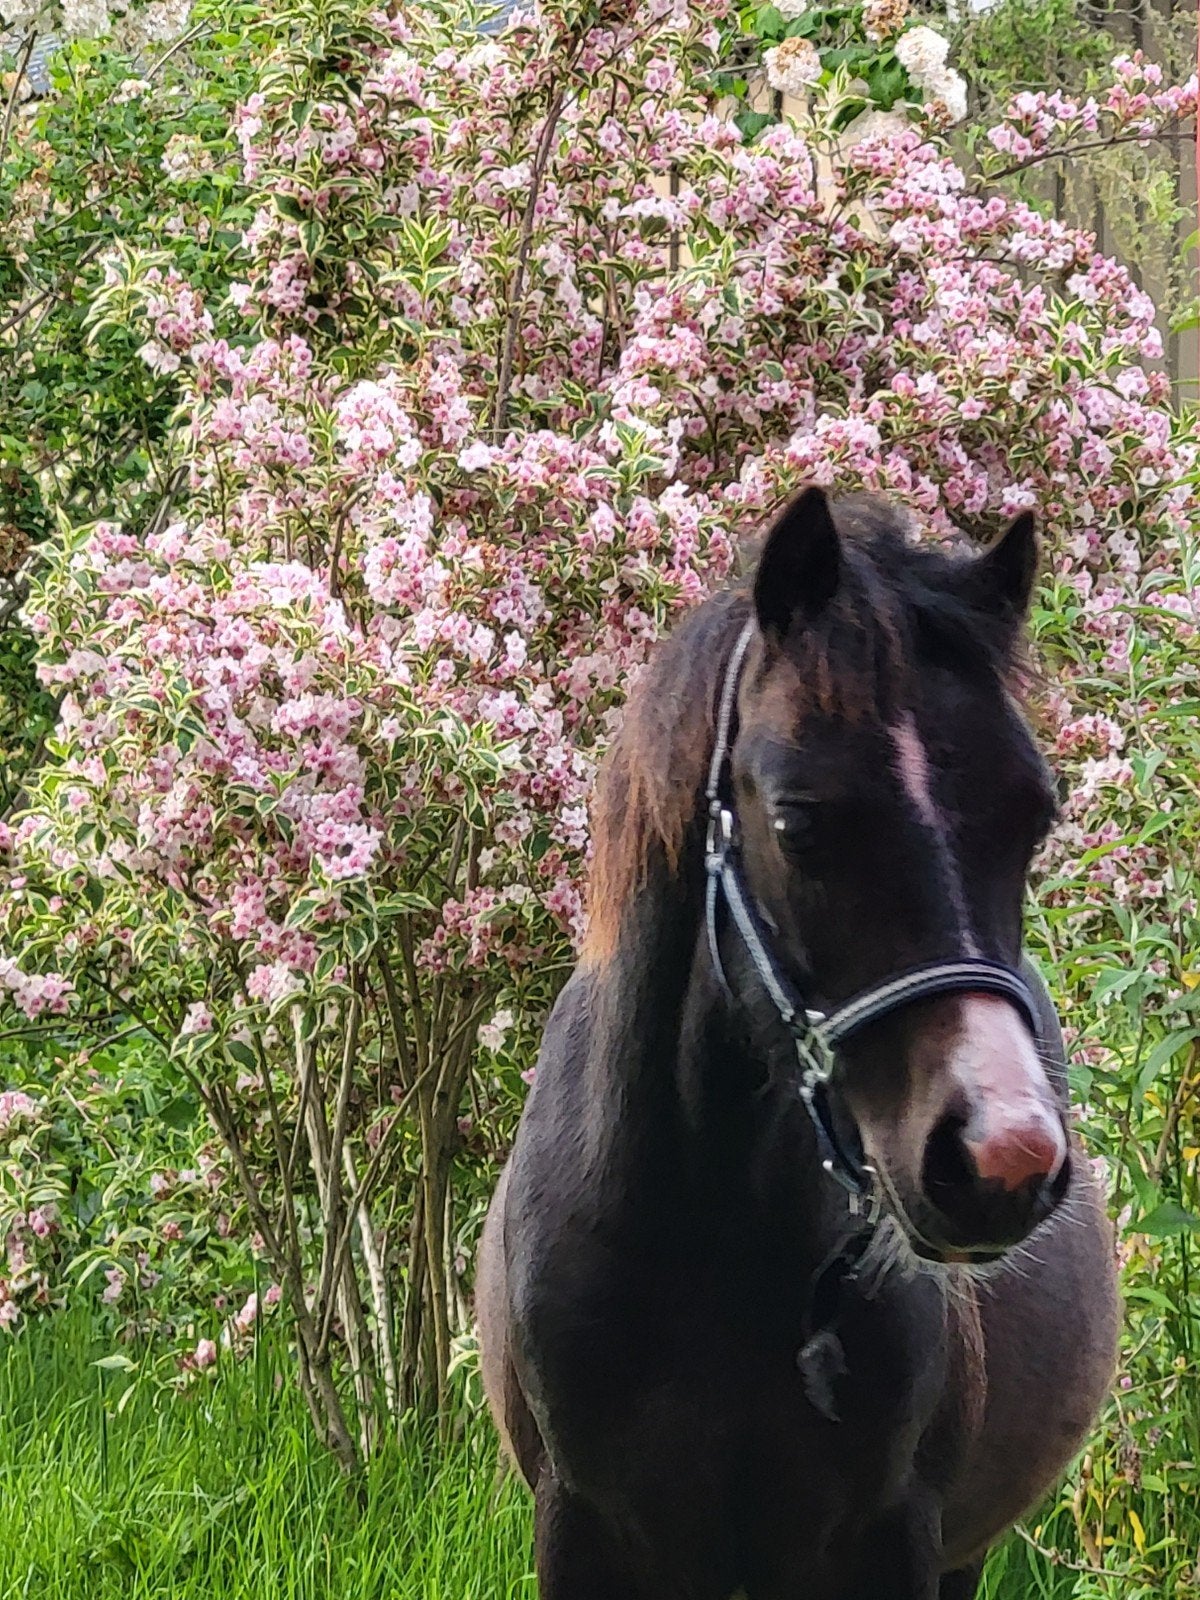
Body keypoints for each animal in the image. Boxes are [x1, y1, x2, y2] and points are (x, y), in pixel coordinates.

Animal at [477, 488, 1119, 1600]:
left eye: (1035, 818)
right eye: (798, 822)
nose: (1001, 1159)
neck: (704, 1236)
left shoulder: (889, 1544)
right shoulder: (584, 1533)